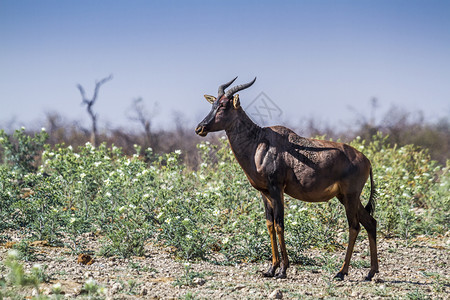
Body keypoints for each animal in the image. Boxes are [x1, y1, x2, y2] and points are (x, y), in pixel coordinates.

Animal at [195, 77, 378, 282]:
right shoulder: (264, 193)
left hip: (350, 196)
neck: (260, 142)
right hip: (345, 197)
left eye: (224, 105)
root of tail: (367, 160)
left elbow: (279, 224)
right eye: (213, 104)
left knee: (354, 226)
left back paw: (341, 272)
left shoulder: (277, 189)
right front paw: (271, 269)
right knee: (371, 222)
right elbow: (269, 225)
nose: (200, 128)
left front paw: (283, 270)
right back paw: (370, 272)